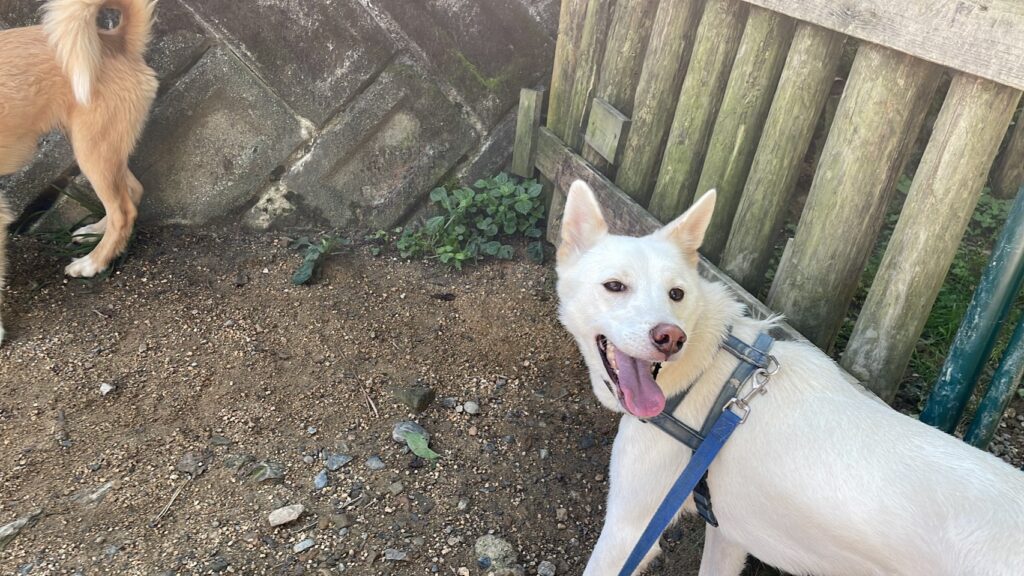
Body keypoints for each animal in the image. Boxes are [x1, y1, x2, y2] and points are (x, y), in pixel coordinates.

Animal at [0, 0, 157, 343]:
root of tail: (114, 40)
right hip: (100, 146)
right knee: (132, 192)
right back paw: (95, 232)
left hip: (91, 150)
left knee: (123, 210)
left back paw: (93, 262)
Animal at [556, 180, 1024, 575]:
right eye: (615, 286)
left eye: (677, 294)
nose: (671, 337)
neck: (707, 372)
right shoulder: (727, 532)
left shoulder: (629, 530)